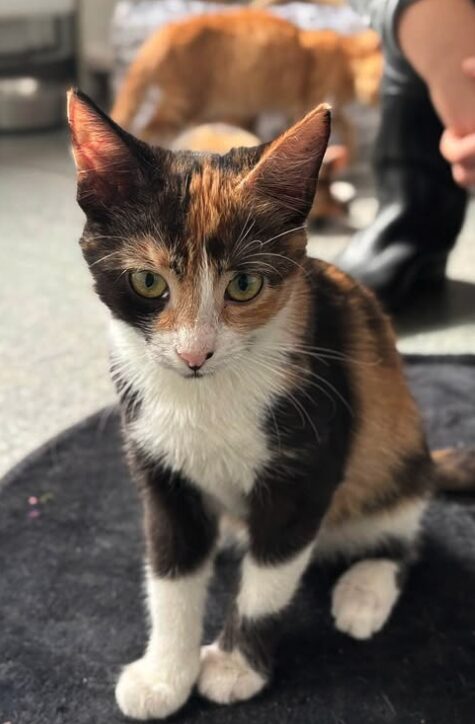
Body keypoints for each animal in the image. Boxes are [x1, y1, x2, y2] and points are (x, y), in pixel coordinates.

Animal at [69, 90, 474, 720]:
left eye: (244, 286)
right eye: (147, 282)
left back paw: (364, 591)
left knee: (403, 537)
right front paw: (164, 675)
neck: (204, 396)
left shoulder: (309, 461)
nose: (194, 354)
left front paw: (236, 668)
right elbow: (170, 572)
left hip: (392, 449)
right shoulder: (158, 466)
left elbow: (270, 577)